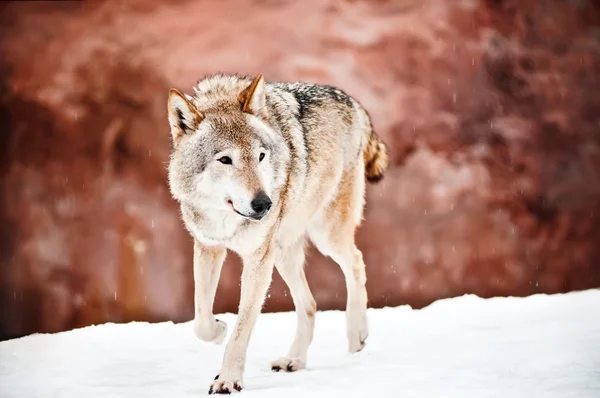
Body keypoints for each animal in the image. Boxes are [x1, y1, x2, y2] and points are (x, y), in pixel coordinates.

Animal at [165, 73, 390, 394]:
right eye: (225, 160)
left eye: (260, 156)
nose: (264, 203)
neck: (227, 219)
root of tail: (352, 100)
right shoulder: (208, 246)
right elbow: (201, 320)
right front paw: (219, 329)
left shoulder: (257, 259)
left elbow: (241, 330)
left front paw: (228, 379)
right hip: (283, 253)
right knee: (310, 305)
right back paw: (294, 359)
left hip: (325, 236)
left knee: (357, 261)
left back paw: (357, 334)